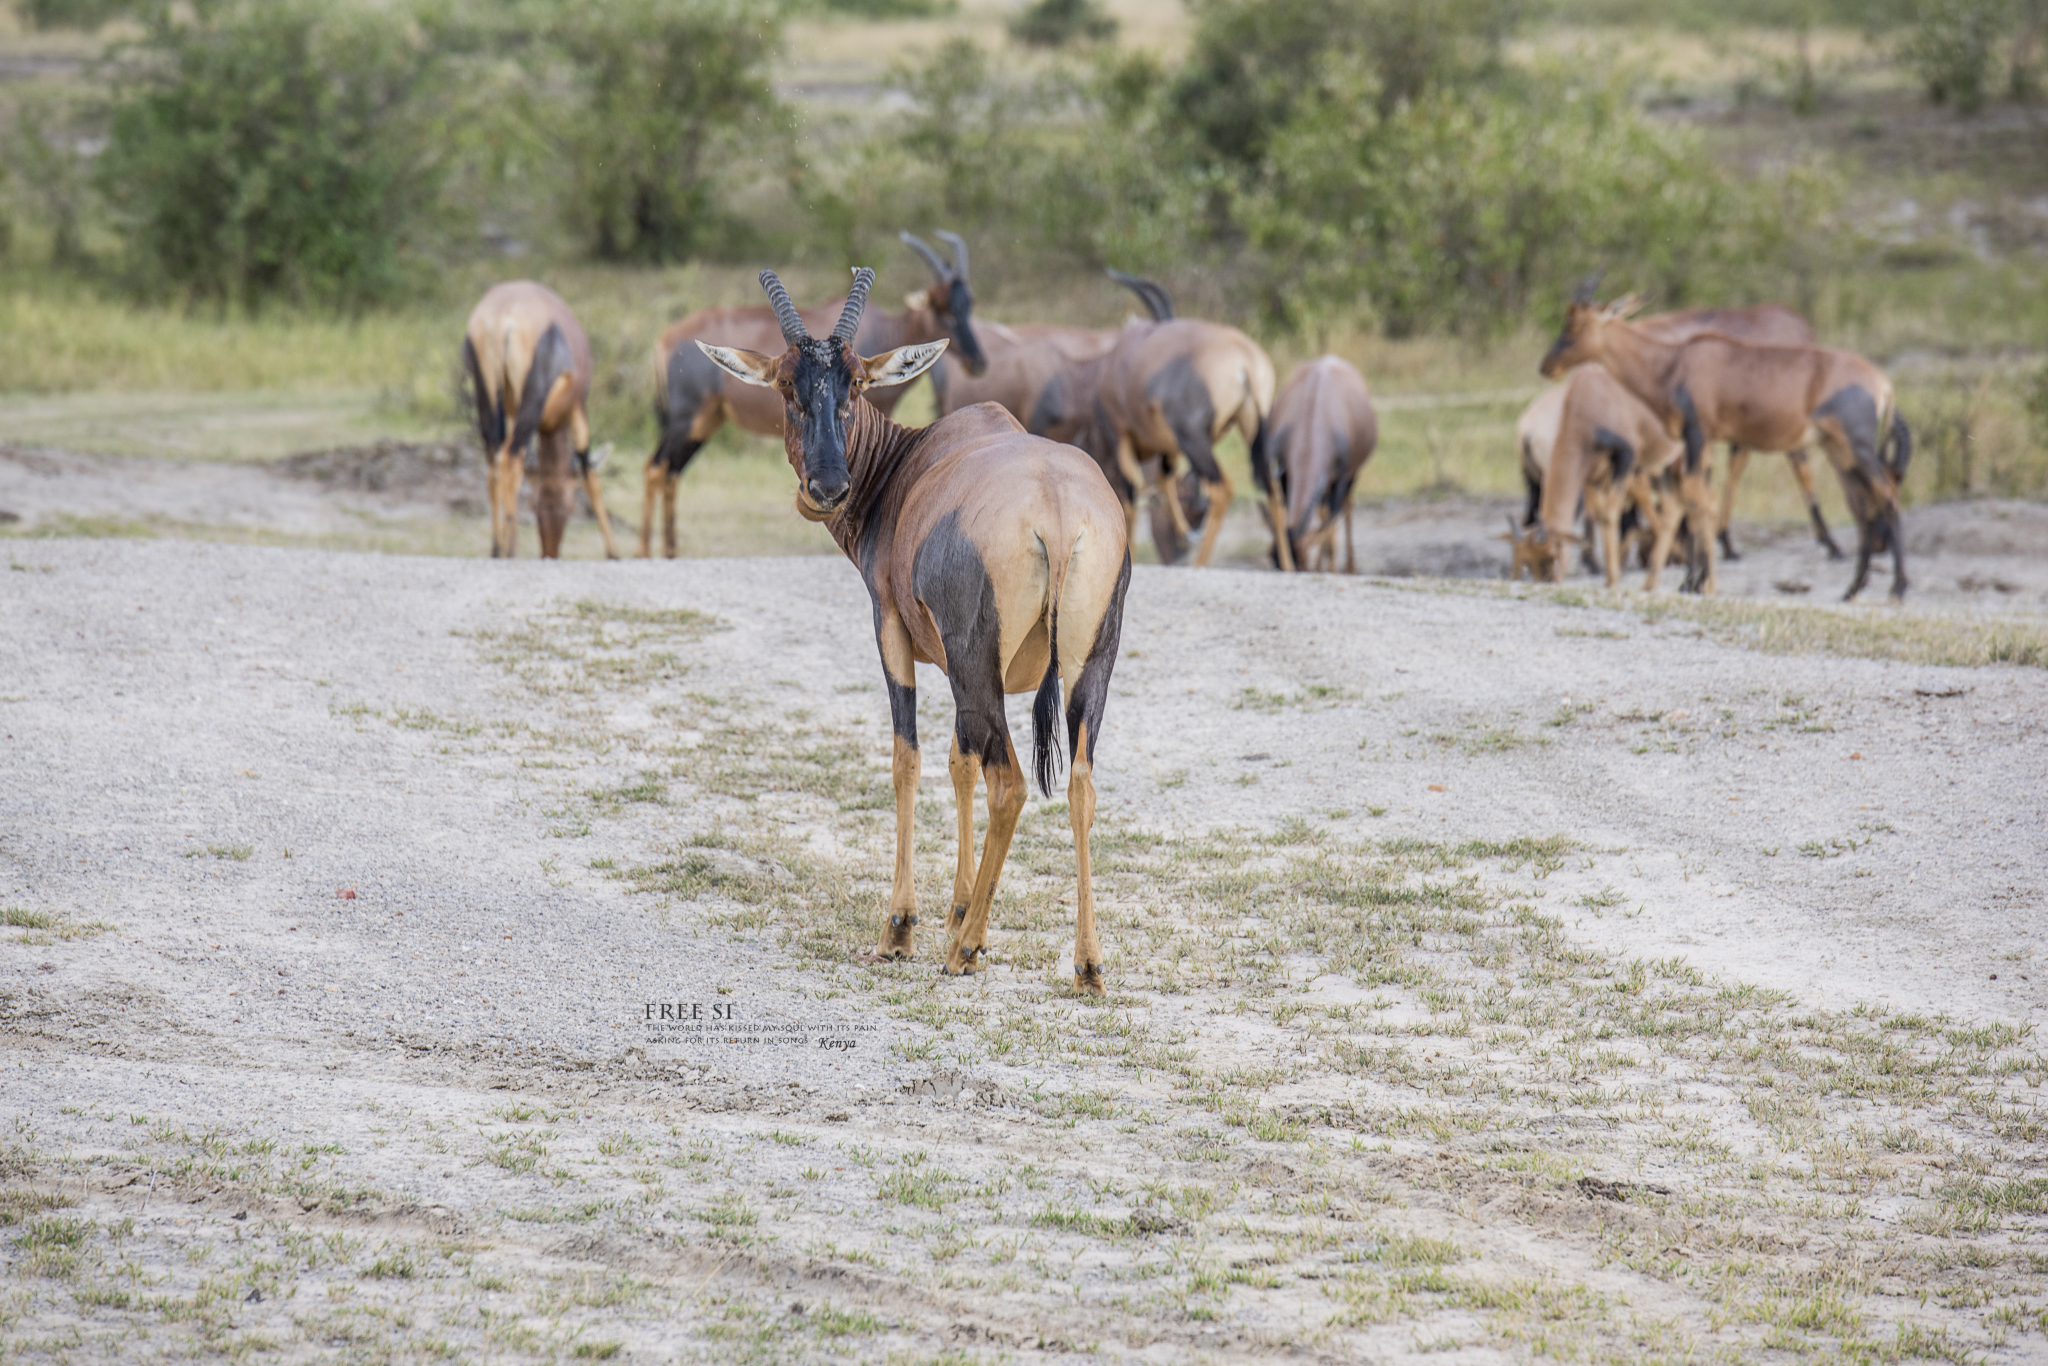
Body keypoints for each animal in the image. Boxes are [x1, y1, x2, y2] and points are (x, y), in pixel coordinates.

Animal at [462, 282, 614, 561]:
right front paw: (614, 552)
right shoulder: (578, 409)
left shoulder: (511, 411)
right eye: (572, 505)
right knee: (509, 457)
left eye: (534, 504)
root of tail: (501, 317)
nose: (549, 554)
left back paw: (496, 548)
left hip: (486, 396)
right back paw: (511, 548)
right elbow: (589, 472)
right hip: (533, 403)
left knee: (494, 462)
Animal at [638, 235, 991, 561]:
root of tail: (665, 339)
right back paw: (643, 553)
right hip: (686, 418)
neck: (883, 330)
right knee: (655, 468)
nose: (978, 362)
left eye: (858, 381)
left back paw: (669, 552)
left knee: (670, 472)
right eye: (785, 381)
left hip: (706, 422)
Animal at [696, 266, 1130, 995]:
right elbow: (960, 763)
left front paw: (903, 928)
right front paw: (957, 910)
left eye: (855, 383)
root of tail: (1057, 510)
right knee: (1079, 786)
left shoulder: (895, 632)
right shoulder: (969, 675)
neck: (915, 459)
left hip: (977, 663)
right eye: (787, 384)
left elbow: (909, 758)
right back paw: (1087, 964)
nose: (827, 487)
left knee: (1012, 782)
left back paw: (967, 951)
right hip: (1087, 666)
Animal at [1253, 358, 1384, 573]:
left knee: (1347, 506)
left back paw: (1350, 567)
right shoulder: (1285, 474)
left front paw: (1329, 570)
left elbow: (1329, 529)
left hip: (1352, 474)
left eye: (1302, 562)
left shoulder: (1341, 479)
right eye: (1273, 560)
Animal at [1540, 288, 1908, 598]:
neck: (1677, 361)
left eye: (1576, 325)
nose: (1546, 366)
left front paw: (1698, 583)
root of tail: (1882, 382)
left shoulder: (1697, 435)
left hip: (1856, 446)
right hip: (1837, 449)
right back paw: (1852, 588)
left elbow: (1697, 499)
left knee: (1886, 495)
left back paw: (1897, 588)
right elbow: (1699, 500)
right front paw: (1695, 581)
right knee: (1864, 506)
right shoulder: (1699, 442)